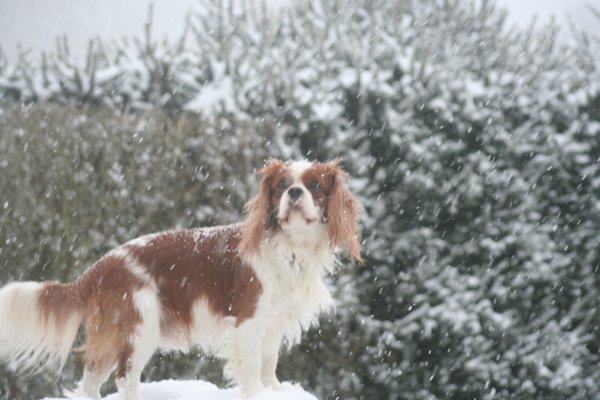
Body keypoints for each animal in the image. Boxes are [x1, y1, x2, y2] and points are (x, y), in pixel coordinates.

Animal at [0, 160, 360, 400]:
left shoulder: (272, 323)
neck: (290, 246)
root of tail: (100, 267)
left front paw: (274, 389)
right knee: (125, 377)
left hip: (114, 334)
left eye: (315, 185)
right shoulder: (247, 321)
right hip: (139, 325)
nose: (295, 192)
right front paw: (257, 392)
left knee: (91, 380)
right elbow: (251, 367)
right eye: (282, 186)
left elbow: (268, 362)